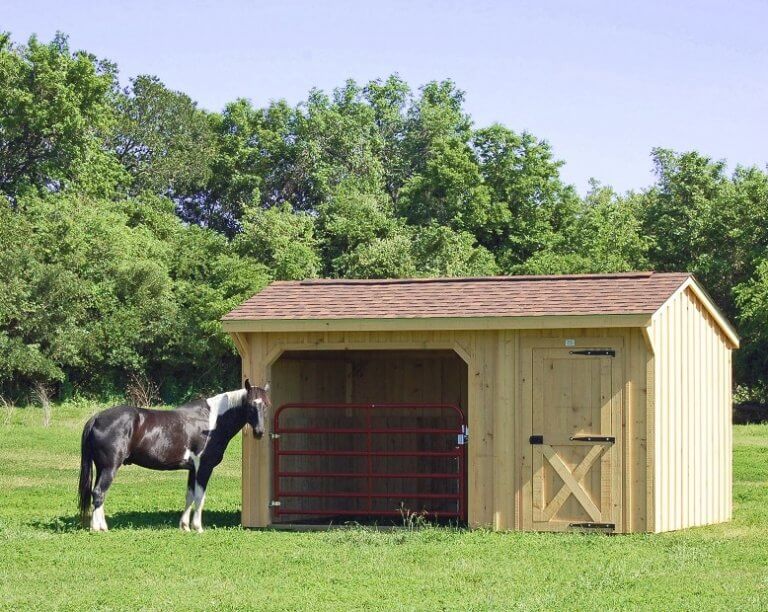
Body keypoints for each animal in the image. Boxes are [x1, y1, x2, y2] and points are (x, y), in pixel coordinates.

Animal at [77, 379, 269, 532]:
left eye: (266, 404)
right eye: (250, 404)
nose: (259, 432)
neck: (212, 421)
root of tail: (96, 418)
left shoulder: (193, 469)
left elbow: (190, 495)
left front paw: (185, 526)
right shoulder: (204, 467)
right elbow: (200, 496)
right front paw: (198, 527)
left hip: (102, 467)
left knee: (99, 494)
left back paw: (101, 526)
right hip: (110, 467)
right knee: (99, 492)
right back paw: (98, 528)